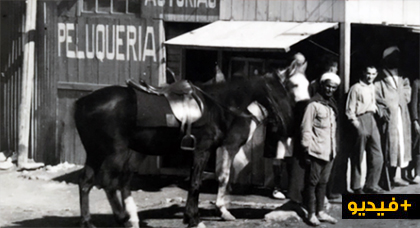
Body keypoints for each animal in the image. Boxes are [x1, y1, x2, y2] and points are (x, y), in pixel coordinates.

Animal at [74, 75, 292, 228]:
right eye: (277, 93)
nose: (286, 122)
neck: (217, 106)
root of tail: (83, 103)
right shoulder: (204, 150)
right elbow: (198, 183)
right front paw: (195, 219)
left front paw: (196, 216)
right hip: (114, 153)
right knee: (110, 184)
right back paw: (123, 218)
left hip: (95, 153)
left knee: (86, 183)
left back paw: (89, 222)